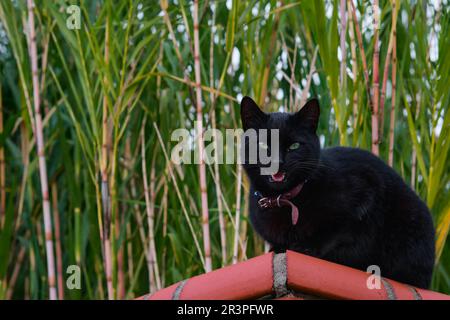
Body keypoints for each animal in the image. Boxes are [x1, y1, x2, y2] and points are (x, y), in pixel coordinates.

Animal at [243, 96, 436, 288]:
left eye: (294, 146)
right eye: (262, 145)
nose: (278, 161)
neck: (283, 199)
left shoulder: (366, 194)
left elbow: (336, 231)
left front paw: (305, 246)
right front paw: (279, 247)